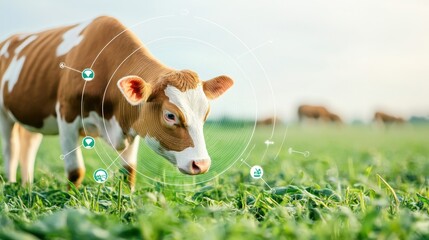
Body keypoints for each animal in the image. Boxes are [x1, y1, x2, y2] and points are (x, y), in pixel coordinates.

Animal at [0, 15, 232, 188]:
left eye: (206, 114)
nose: (201, 164)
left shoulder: (131, 124)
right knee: (11, 149)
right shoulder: (67, 116)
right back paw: (11, 185)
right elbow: (76, 171)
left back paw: (27, 185)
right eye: (170, 115)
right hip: (4, 115)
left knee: (28, 147)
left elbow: (128, 172)